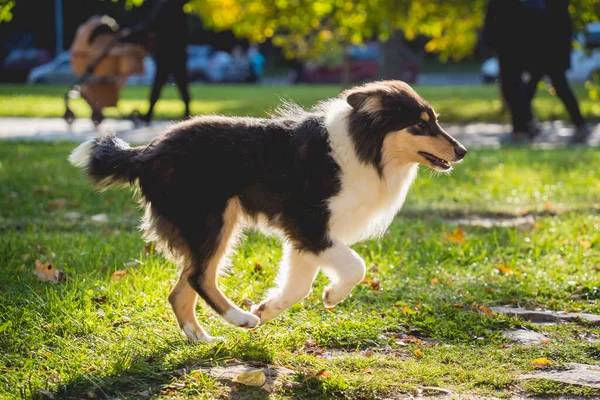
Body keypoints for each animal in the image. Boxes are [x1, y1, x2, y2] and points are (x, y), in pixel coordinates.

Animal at [70, 80, 468, 340]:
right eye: (419, 124)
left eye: (434, 120)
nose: (462, 151)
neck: (362, 148)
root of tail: (146, 152)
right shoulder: (307, 223)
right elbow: (356, 266)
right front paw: (333, 295)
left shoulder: (309, 237)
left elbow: (299, 286)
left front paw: (271, 307)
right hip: (214, 220)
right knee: (199, 278)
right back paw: (240, 319)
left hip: (210, 225)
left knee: (181, 288)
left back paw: (203, 340)